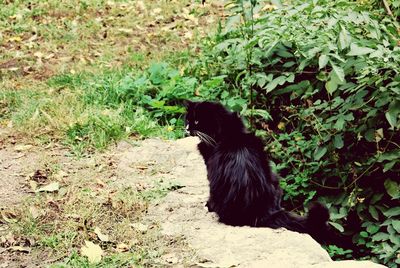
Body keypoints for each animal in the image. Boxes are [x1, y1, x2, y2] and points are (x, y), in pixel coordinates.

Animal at [184, 100, 350, 247]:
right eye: (188, 119)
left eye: (197, 121)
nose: (186, 128)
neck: (229, 131)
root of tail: (261, 211)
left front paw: (207, 204)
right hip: (275, 179)